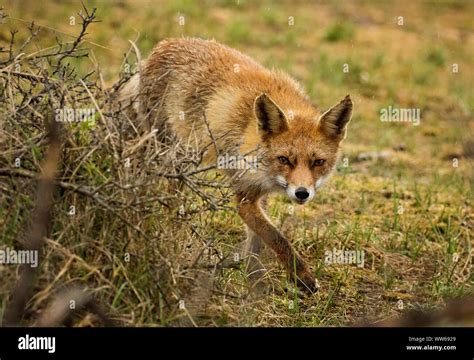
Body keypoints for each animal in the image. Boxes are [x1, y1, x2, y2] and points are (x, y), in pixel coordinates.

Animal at [119, 38, 352, 294]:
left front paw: (253, 278)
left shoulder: (259, 194)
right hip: (170, 152)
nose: (302, 193)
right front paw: (301, 277)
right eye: (284, 159)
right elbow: (277, 237)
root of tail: (162, 44)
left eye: (318, 162)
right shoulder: (244, 196)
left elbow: (258, 238)